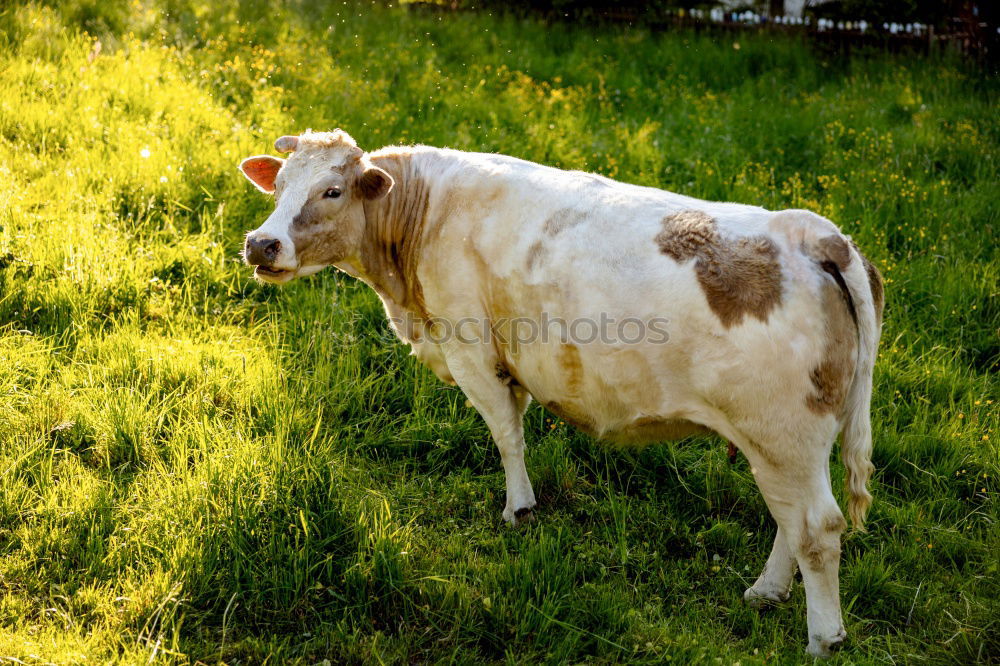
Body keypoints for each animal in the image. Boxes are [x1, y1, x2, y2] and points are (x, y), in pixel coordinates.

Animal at [236, 128, 884, 652]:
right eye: (279, 186)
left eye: (332, 191)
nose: (261, 244)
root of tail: (817, 234)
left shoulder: (471, 349)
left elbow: (506, 435)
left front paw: (519, 508)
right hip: (785, 443)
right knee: (791, 522)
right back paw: (767, 591)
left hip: (782, 434)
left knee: (816, 529)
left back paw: (822, 638)